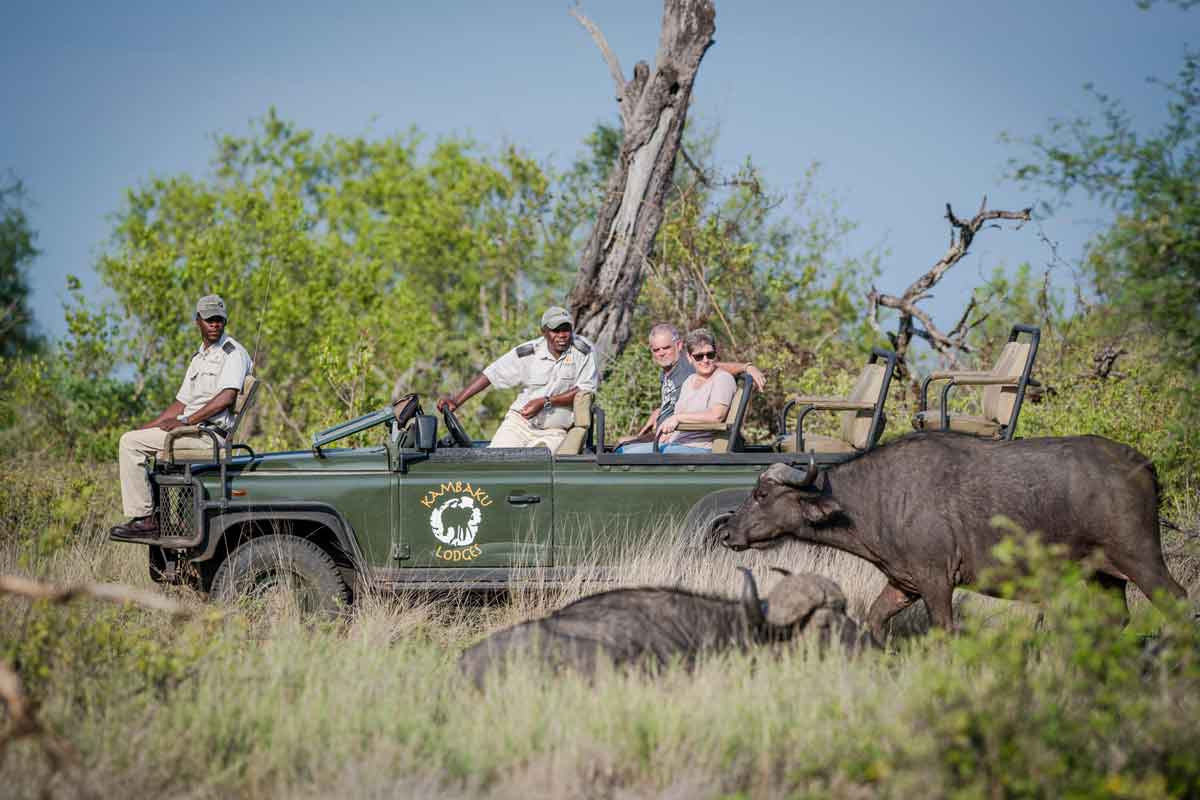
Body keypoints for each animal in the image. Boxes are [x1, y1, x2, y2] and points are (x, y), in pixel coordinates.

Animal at [715, 431, 1185, 642]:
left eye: (760, 494)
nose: (726, 531)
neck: (881, 497)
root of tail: (1141, 463)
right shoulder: (902, 584)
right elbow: (873, 621)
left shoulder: (936, 582)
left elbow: (944, 631)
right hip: (1107, 578)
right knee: (1116, 620)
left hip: (1141, 559)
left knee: (1178, 601)